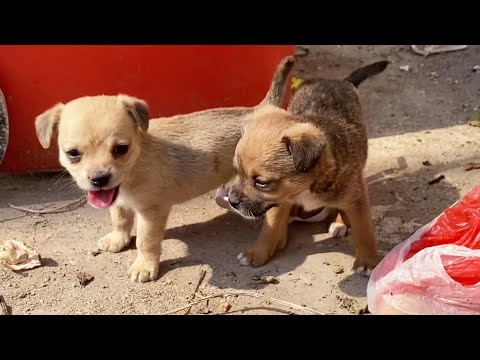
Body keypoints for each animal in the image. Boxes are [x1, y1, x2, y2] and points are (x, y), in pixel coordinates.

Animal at [33, 55, 294, 282]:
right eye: (73, 153)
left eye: (121, 149)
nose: (99, 179)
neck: (137, 163)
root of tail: (260, 109)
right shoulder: (118, 201)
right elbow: (120, 219)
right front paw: (118, 239)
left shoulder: (152, 211)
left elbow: (146, 241)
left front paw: (144, 266)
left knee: (281, 208)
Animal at [225, 61, 390, 276]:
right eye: (236, 170)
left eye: (261, 182)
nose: (232, 201)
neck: (305, 187)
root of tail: (340, 81)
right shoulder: (280, 200)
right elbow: (270, 228)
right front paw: (258, 252)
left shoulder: (357, 200)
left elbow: (364, 233)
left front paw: (368, 262)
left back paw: (339, 222)